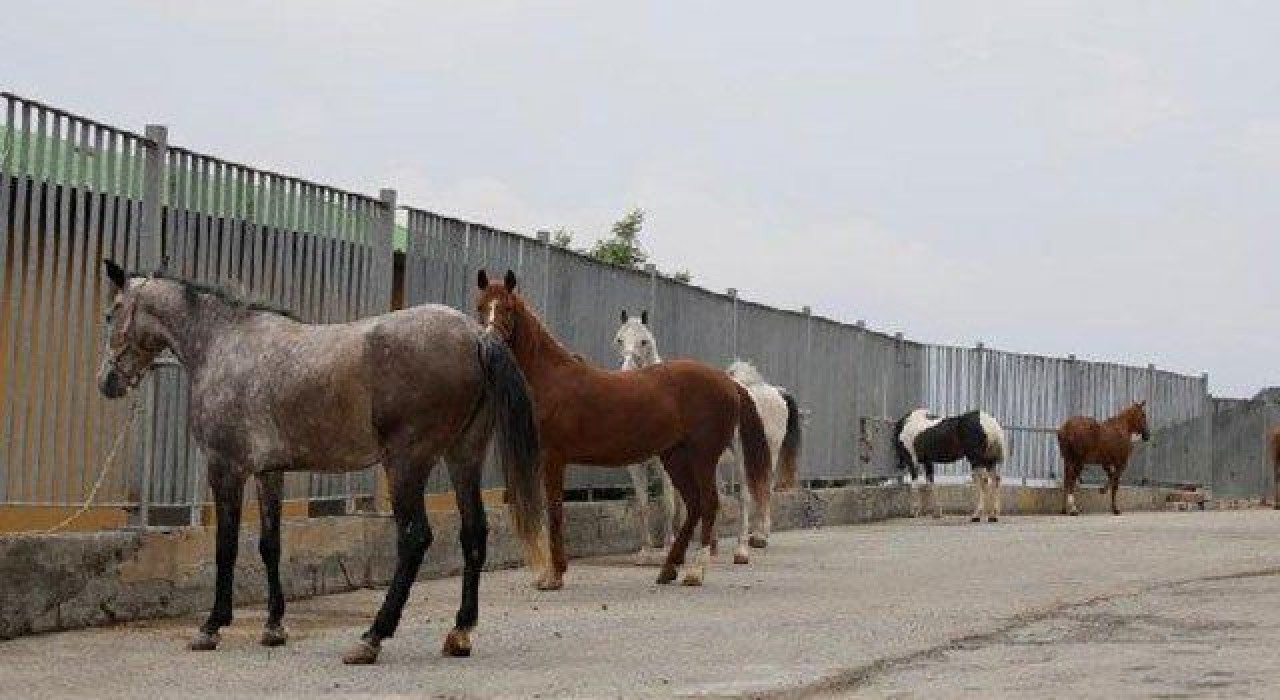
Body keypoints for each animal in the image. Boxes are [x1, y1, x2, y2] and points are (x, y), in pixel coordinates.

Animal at [94, 259, 545, 665]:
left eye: (111, 312)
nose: (107, 382)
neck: (226, 343)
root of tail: (476, 336)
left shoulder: (226, 469)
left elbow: (226, 546)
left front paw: (212, 626)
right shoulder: (268, 473)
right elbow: (269, 545)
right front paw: (274, 626)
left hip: (406, 464)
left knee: (415, 538)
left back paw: (372, 637)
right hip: (463, 458)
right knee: (474, 534)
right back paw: (459, 633)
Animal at [473, 271, 762, 588]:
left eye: (507, 308)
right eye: (480, 306)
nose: (489, 343)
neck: (551, 378)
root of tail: (728, 382)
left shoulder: (552, 458)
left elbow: (555, 512)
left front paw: (554, 576)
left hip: (703, 457)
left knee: (710, 503)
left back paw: (696, 571)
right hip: (676, 458)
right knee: (695, 505)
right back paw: (668, 569)